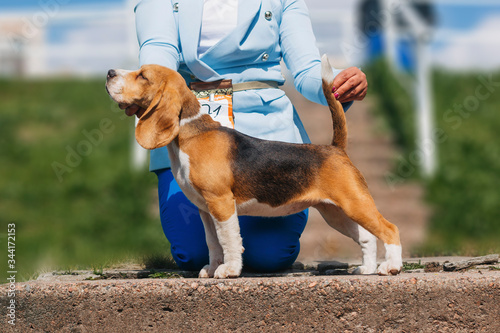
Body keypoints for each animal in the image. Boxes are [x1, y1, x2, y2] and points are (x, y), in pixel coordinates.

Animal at [105, 56, 402, 278]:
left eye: (142, 76)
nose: (108, 72)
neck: (190, 132)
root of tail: (335, 148)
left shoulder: (221, 203)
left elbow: (229, 240)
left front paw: (229, 271)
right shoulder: (205, 209)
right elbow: (212, 242)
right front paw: (211, 269)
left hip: (355, 203)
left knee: (389, 229)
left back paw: (392, 267)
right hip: (335, 212)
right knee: (366, 236)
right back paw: (367, 268)